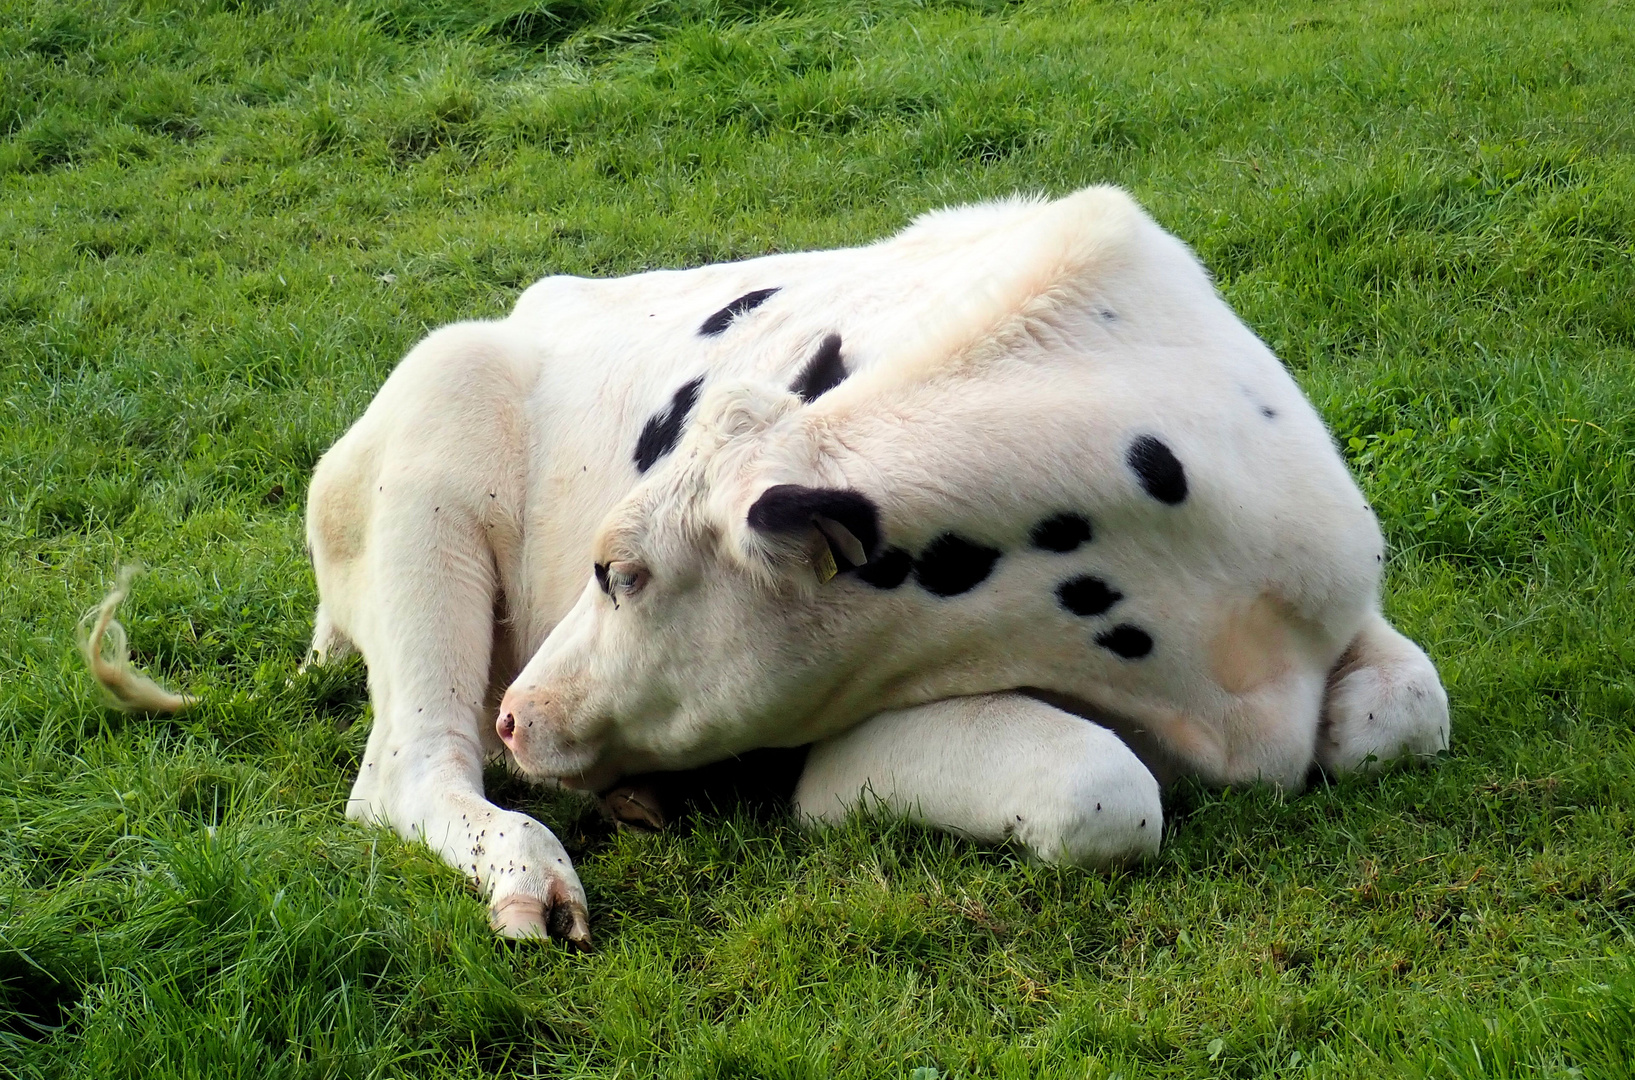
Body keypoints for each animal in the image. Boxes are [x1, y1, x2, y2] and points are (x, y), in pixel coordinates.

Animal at [86, 185, 1445, 941]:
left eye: (623, 573)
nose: (521, 712)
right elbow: (1103, 790)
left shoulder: (1345, 603)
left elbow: (1406, 709)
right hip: (426, 485)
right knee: (408, 771)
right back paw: (527, 866)